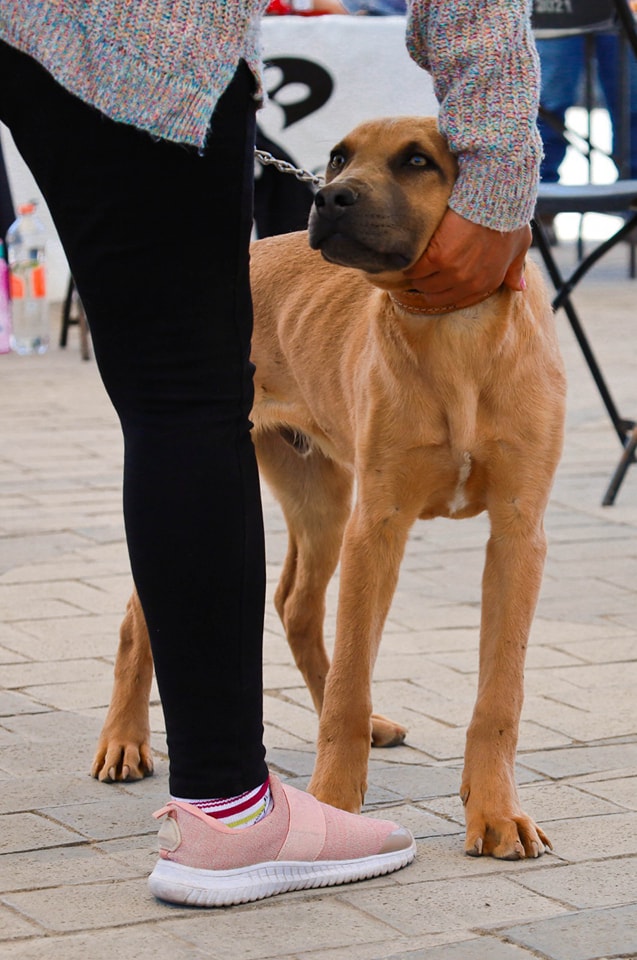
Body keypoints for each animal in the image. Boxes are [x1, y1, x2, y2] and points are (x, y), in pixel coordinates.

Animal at [92, 116, 564, 860]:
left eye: (417, 162)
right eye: (340, 156)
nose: (328, 197)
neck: (452, 332)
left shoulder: (518, 532)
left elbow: (498, 695)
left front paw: (494, 812)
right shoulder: (379, 525)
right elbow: (349, 679)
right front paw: (337, 803)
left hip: (322, 497)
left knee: (294, 604)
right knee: (141, 621)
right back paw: (124, 741)